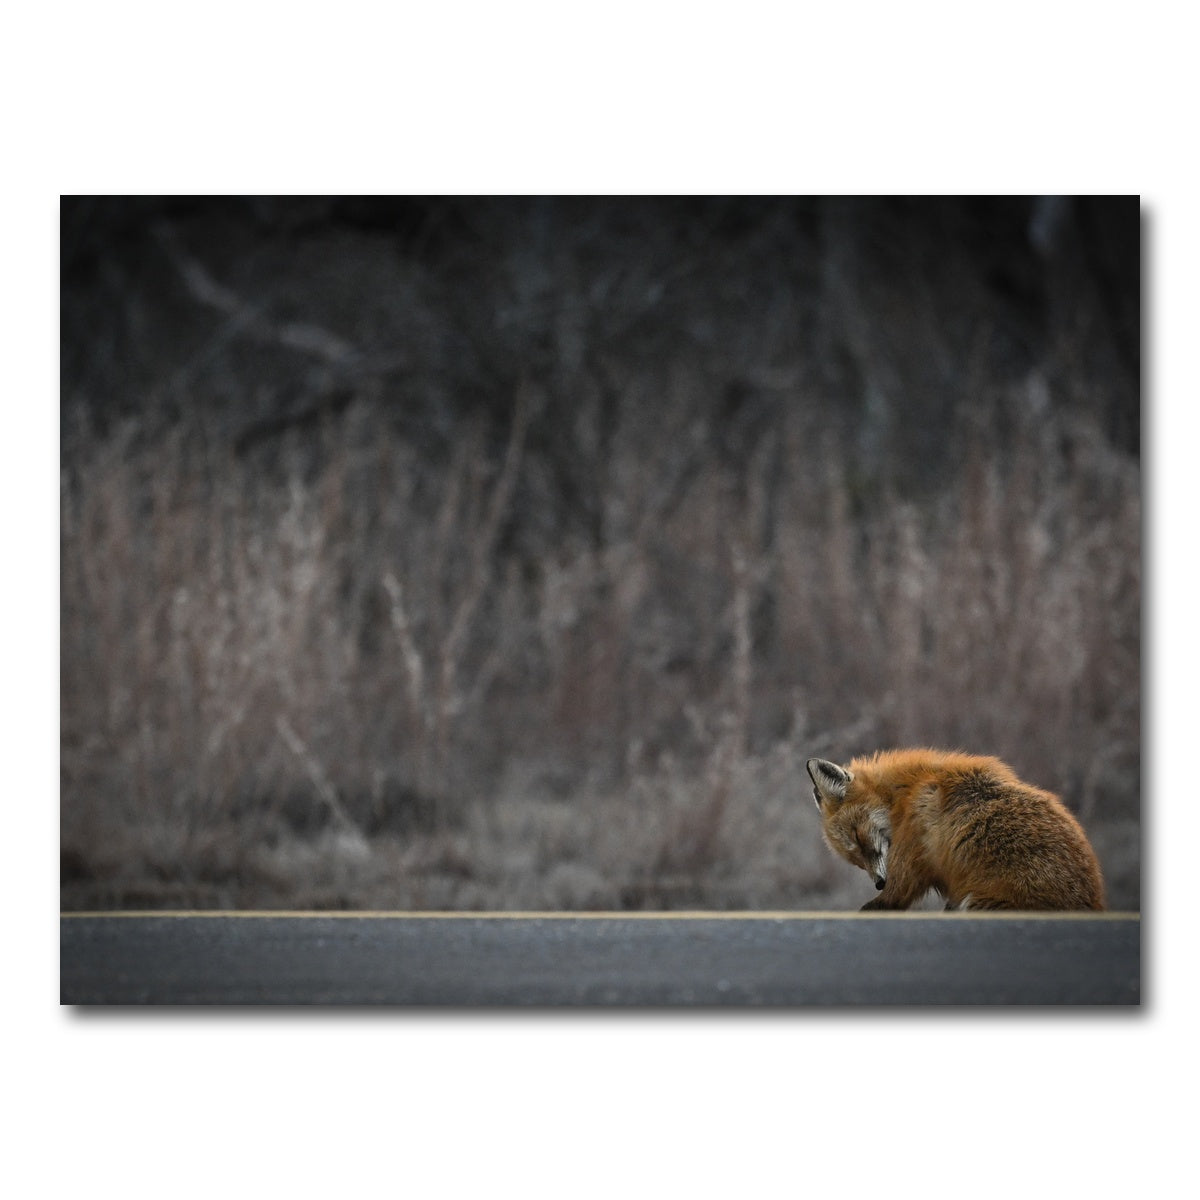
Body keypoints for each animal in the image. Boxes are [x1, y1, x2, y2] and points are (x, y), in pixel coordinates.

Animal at [806, 748, 1105, 911]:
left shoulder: (908, 865)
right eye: (855, 860)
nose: (879, 882)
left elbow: (888, 898)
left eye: (858, 837)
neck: (905, 793)